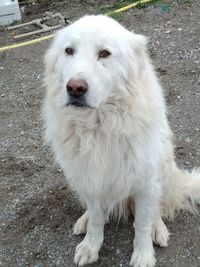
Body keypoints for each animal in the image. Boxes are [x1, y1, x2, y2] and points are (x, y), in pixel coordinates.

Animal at [43, 15, 200, 267]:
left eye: (104, 53)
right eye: (69, 51)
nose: (75, 88)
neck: (100, 125)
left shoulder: (145, 182)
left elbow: (142, 224)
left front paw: (143, 255)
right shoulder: (90, 177)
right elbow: (97, 218)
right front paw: (91, 245)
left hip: (163, 170)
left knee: (157, 208)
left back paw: (159, 229)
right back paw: (84, 220)